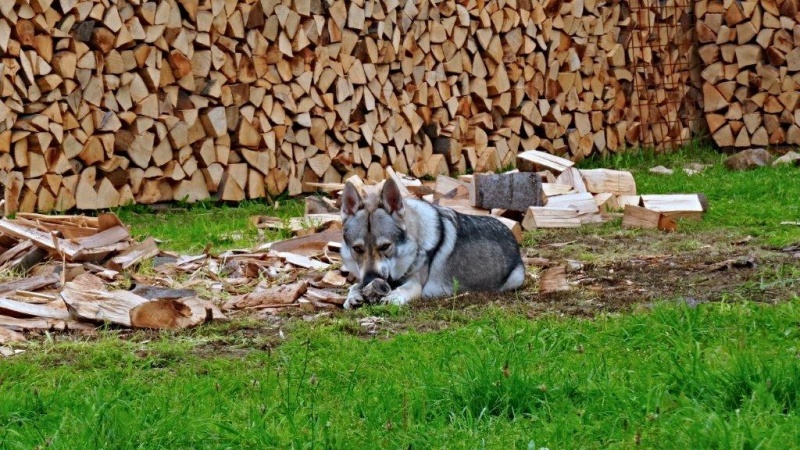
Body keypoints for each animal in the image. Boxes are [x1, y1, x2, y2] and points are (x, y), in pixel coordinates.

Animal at [340, 178, 528, 308]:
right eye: (357, 249)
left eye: (385, 246)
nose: (370, 280)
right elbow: (354, 285)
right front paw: (352, 296)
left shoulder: (415, 284)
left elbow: (403, 289)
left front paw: (392, 297)